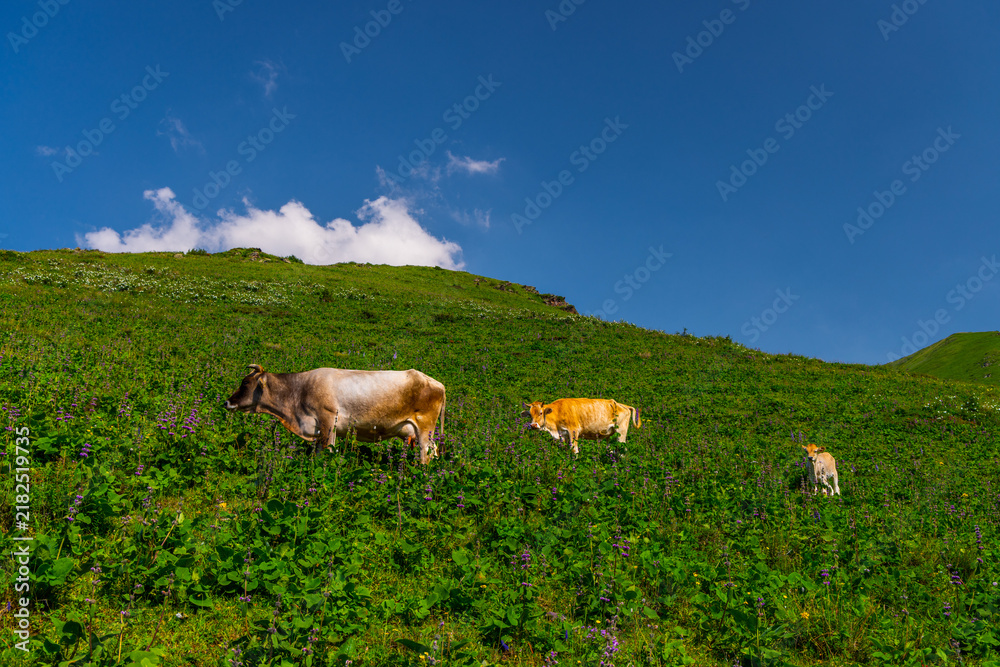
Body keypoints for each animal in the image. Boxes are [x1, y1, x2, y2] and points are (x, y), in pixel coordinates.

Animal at [224, 365, 446, 464]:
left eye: (245, 382)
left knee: (426, 453)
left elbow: (327, 451)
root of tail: (437, 383)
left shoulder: (327, 420)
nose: (227, 402)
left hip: (425, 428)